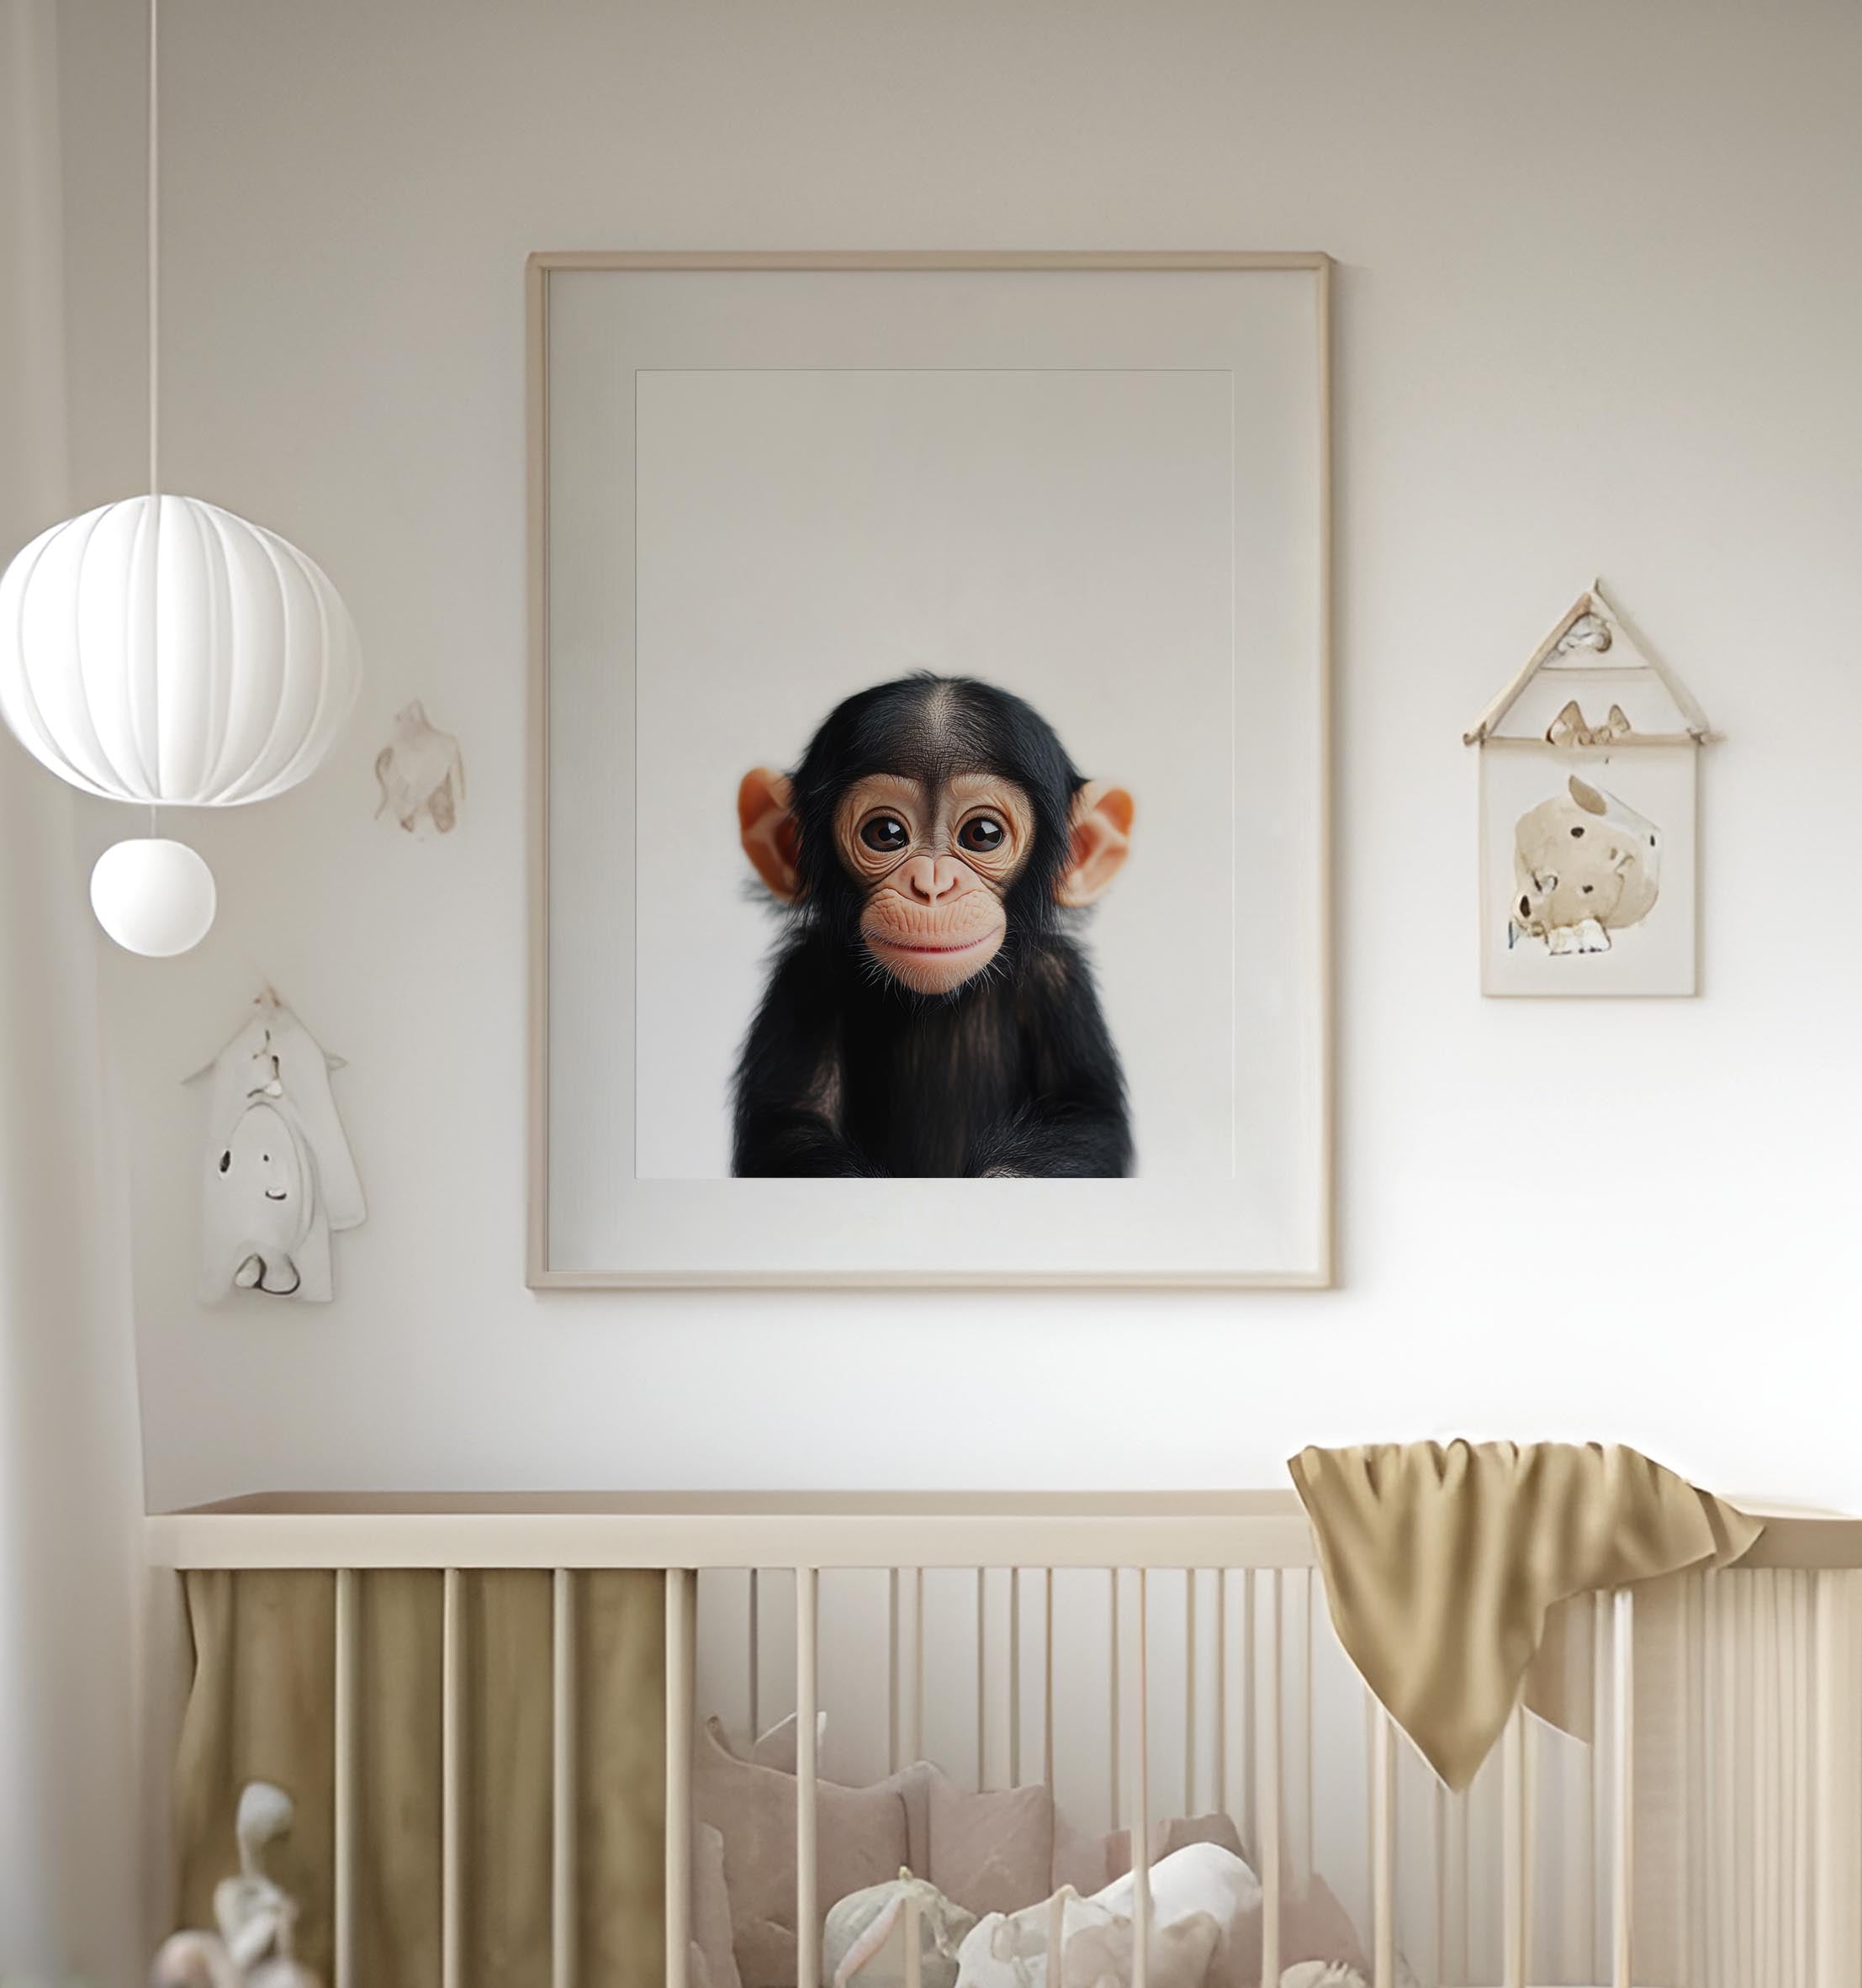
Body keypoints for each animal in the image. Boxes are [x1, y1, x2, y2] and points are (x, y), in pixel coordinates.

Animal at [731, 673, 1136, 1178]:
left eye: (982, 834)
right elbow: (785, 1126)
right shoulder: (805, 978)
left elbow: (1089, 1116)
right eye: (885, 834)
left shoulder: (1060, 980)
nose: (933, 885)